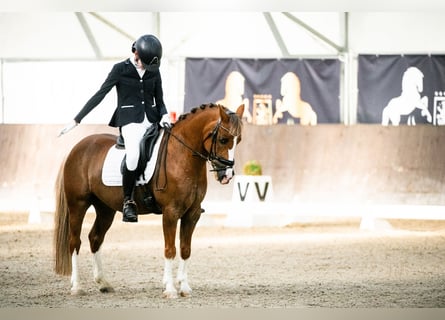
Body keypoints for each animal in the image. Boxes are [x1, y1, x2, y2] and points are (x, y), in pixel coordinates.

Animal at [54, 103, 246, 298]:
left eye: (238, 140)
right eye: (223, 139)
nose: (226, 175)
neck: (181, 155)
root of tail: (77, 147)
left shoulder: (192, 214)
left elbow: (185, 249)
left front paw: (184, 287)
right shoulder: (170, 213)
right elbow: (170, 249)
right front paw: (170, 289)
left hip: (105, 209)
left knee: (95, 238)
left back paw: (103, 283)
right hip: (78, 205)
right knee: (74, 242)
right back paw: (77, 286)